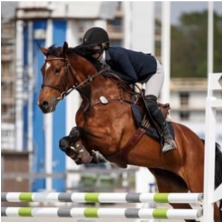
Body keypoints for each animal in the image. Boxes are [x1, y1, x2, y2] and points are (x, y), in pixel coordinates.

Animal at [37, 42, 221, 222]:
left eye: (57, 70)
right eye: (41, 70)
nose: (43, 104)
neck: (97, 98)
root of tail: (201, 142)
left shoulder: (111, 139)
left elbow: (77, 130)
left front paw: (83, 153)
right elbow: (66, 139)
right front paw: (81, 154)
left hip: (197, 183)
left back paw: (169, 143)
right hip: (173, 190)